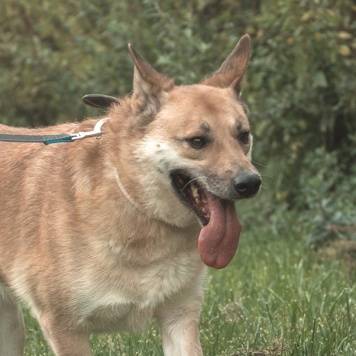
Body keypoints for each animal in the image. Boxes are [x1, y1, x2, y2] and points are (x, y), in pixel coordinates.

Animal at [0, 34, 262, 356]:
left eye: (243, 136)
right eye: (197, 141)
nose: (250, 183)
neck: (134, 205)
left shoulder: (179, 317)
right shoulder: (65, 328)